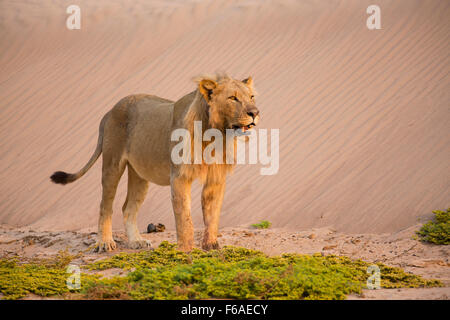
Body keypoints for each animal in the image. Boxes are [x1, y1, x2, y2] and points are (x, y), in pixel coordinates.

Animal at [49, 73, 260, 252]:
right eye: (233, 98)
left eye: (251, 97)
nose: (255, 112)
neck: (216, 134)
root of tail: (110, 111)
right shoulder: (179, 176)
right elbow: (184, 217)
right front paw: (185, 250)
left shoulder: (216, 178)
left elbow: (212, 213)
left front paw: (211, 245)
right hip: (112, 164)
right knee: (105, 206)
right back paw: (105, 242)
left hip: (139, 175)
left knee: (128, 208)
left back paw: (136, 241)